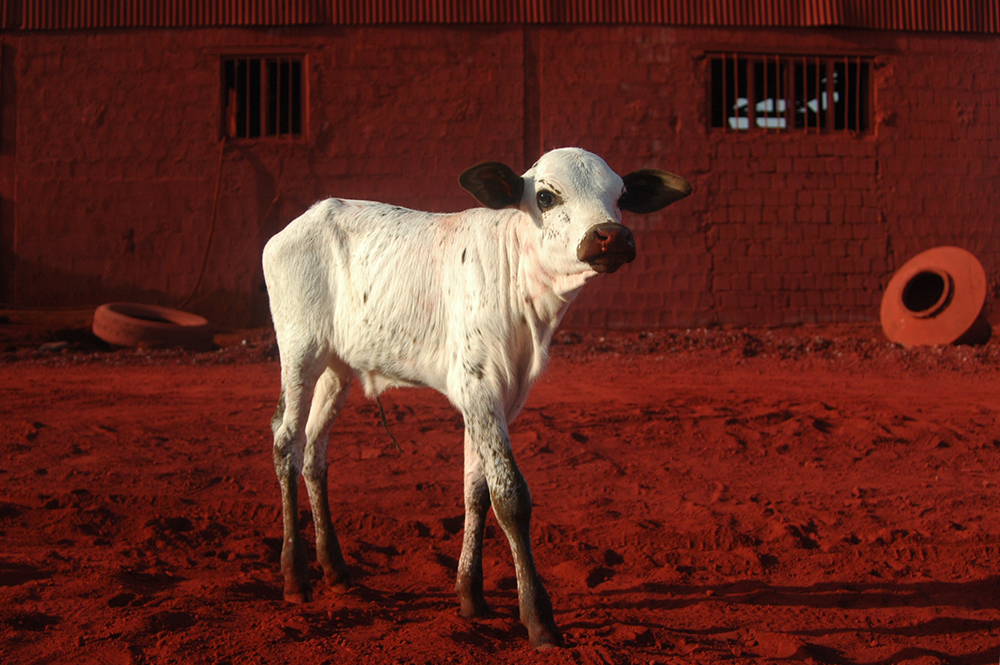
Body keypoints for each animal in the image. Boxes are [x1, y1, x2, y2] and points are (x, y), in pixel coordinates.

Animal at [262, 147, 691, 648]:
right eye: (545, 196)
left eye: (621, 196)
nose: (612, 235)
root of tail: (307, 217)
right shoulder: (479, 388)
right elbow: (510, 496)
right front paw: (538, 616)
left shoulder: (493, 398)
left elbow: (476, 491)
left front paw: (471, 595)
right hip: (298, 351)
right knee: (286, 444)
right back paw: (295, 576)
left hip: (338, 368)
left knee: (315, 453)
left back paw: (334, 569)